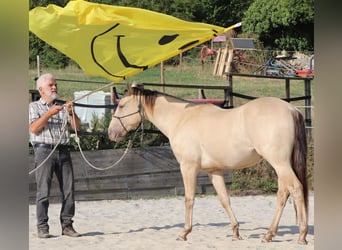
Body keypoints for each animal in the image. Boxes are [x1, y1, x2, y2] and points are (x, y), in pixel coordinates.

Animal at [108, 84, 308, 244]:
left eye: (121, 105)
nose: (111, 133)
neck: (181, 118)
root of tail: (291, 109)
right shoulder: (214, 170)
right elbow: (224, 199)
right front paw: (235, 232)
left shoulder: (188, 167)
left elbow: (189, 199)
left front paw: (184, 233)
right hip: (281, 165)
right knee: (283, 194)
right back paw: (269, 235)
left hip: (279, 163)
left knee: (295, 189)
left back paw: (301, 236)